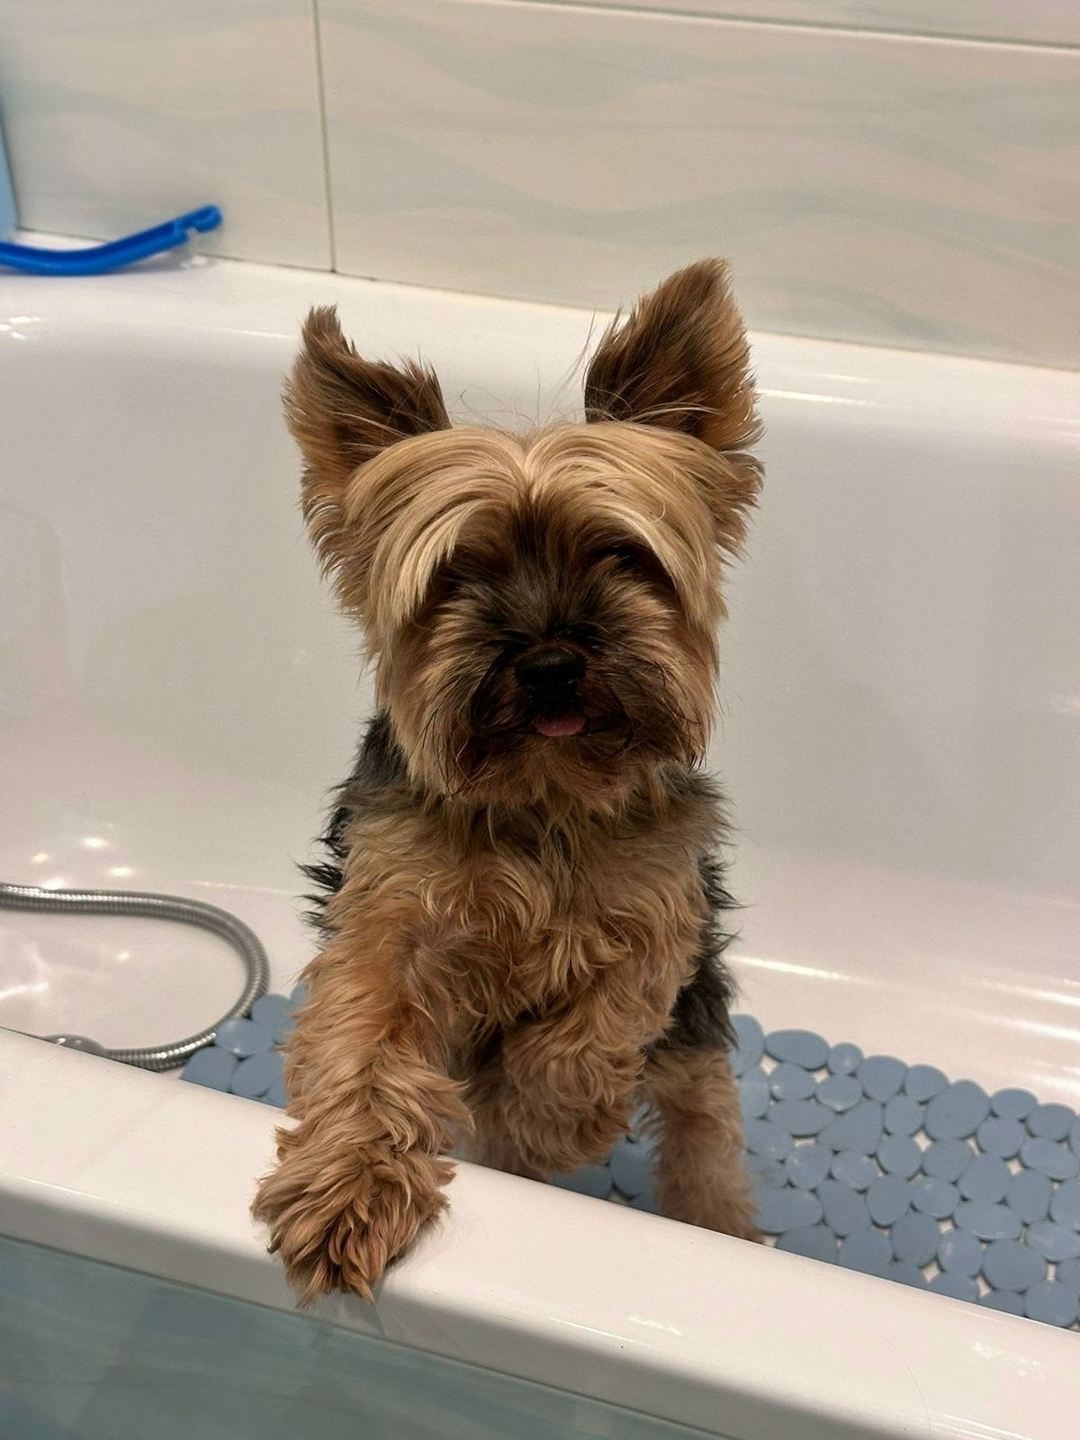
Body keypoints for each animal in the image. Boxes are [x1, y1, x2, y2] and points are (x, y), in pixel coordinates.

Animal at [252, 258, 763, 1303]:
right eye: (458, 574)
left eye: (619, 553)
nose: (552, 663)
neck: (545, 800)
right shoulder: (391, 914)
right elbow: (363, 1039)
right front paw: (349, 1189)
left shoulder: (662, 907)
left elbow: (602, 1017)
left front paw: (546, 1124)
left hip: (694, 1025)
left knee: (700, 1118)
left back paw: (715, 1222)